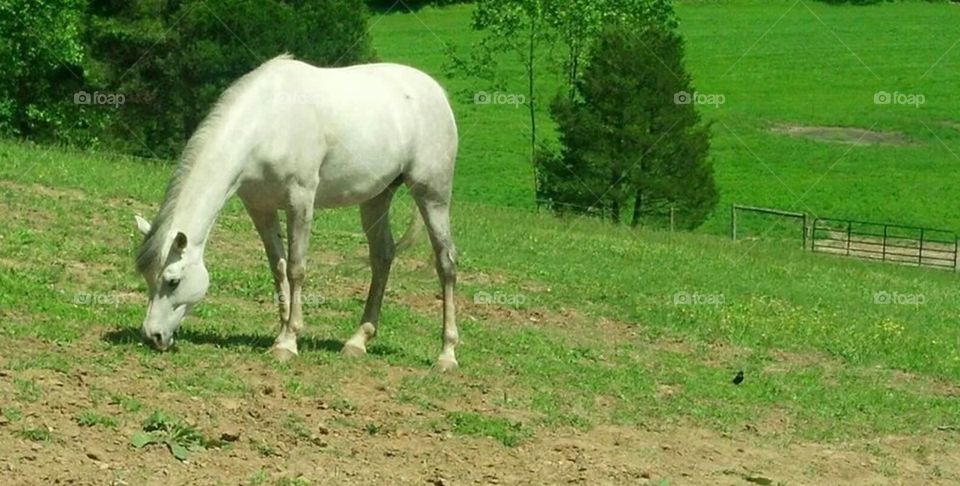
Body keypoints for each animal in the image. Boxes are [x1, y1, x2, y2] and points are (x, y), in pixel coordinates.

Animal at [134, 55, 462, 370]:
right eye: (149, 277)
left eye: (173, 281)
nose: (153, 336)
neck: (268, 122)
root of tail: (436, 92)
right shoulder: (260, 208)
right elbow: (278, 268)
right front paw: (281, 334)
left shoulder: (300, 200)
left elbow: (296, 268)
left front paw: (289, 344)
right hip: (377, 198)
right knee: (382, 257)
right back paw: (358, 341)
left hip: (432, 194)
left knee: (445, 263)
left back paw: (446, 355)